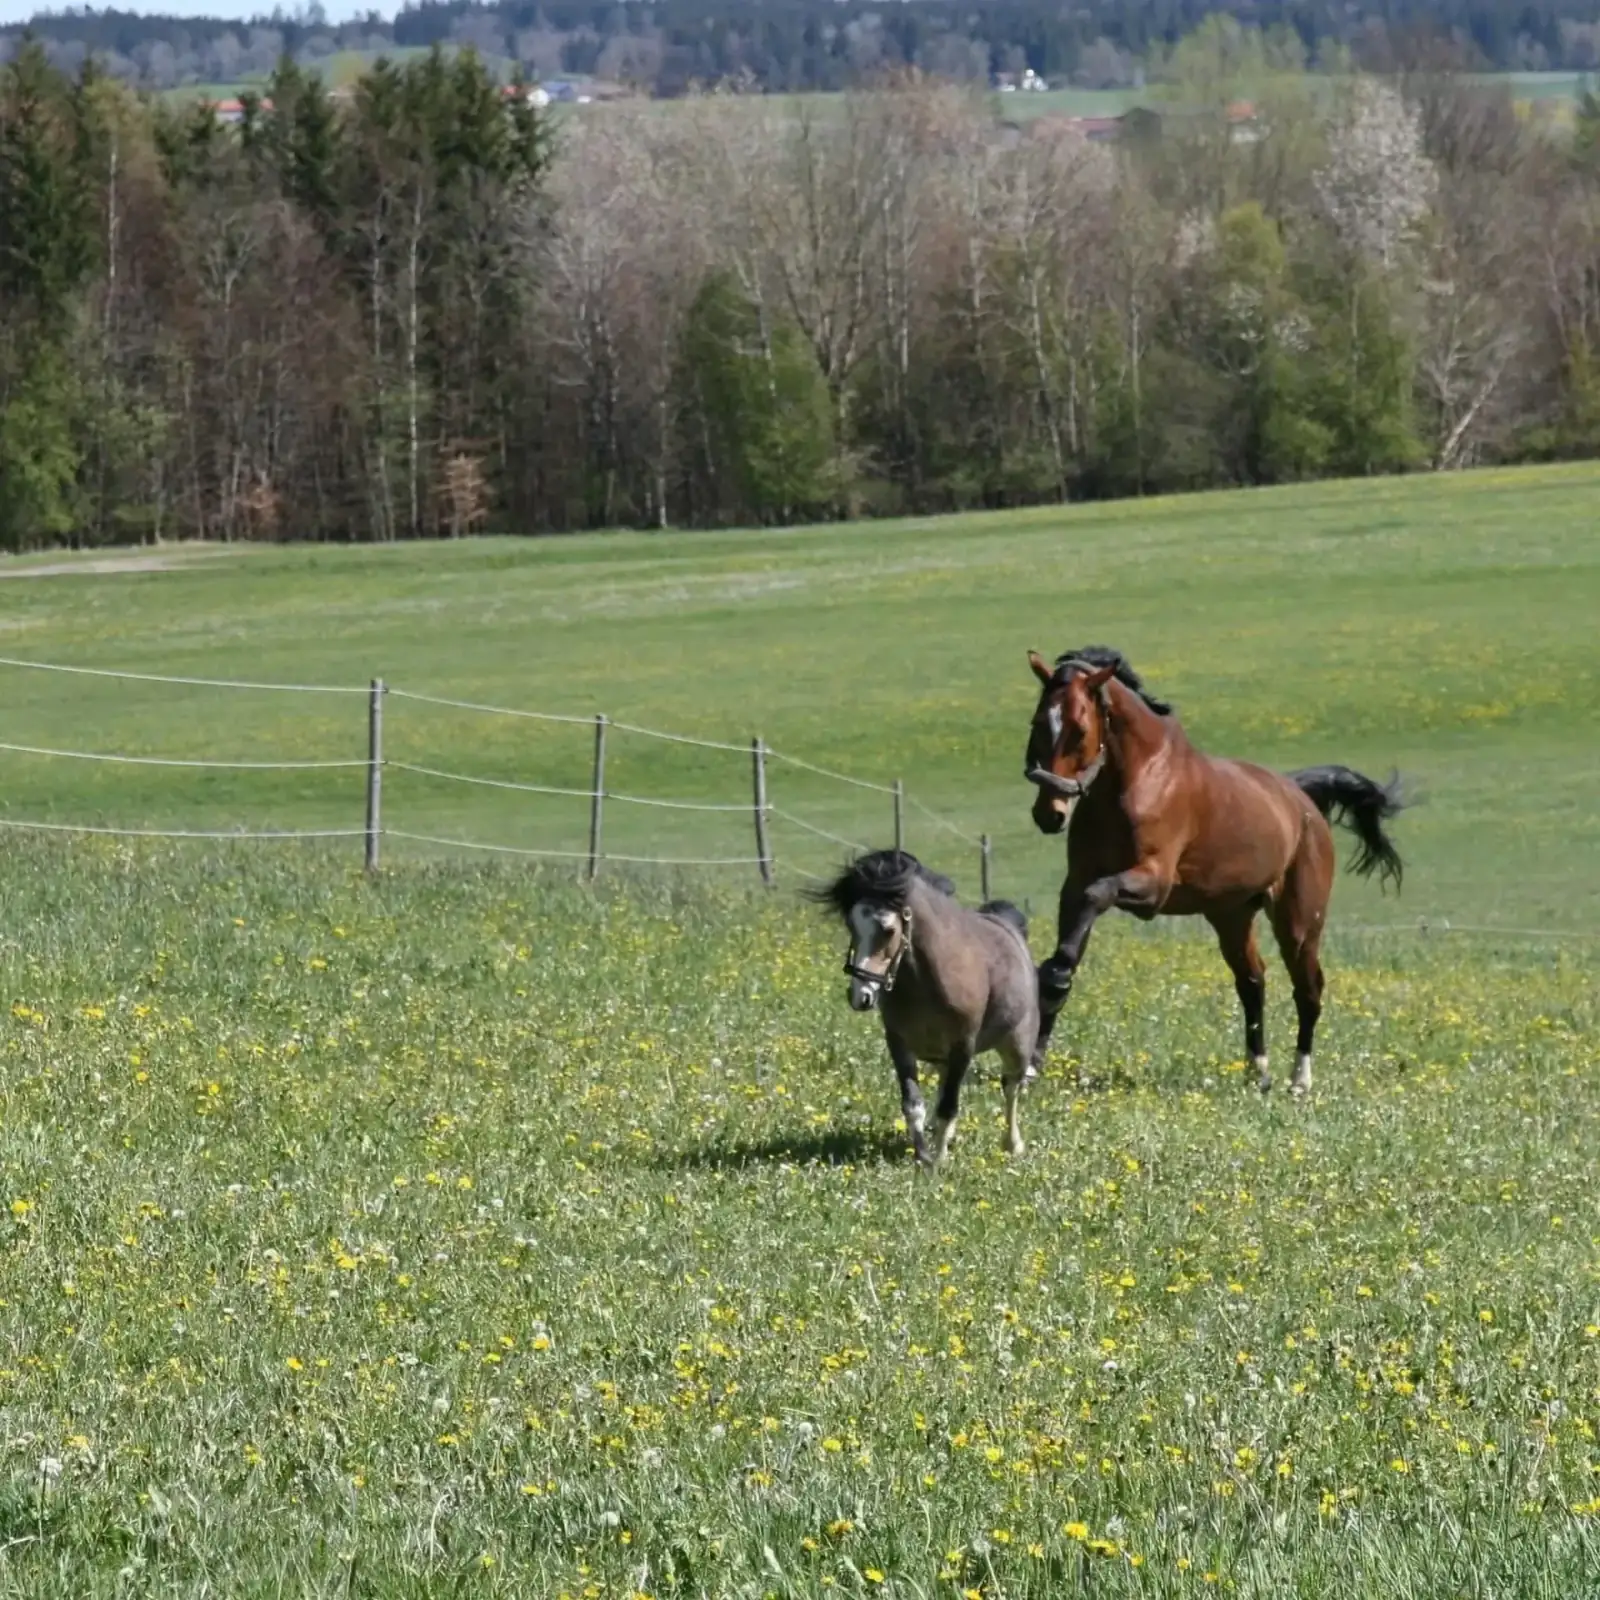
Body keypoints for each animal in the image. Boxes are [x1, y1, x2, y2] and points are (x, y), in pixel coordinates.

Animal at [808, 850, 1040, 1167]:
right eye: (851, 925)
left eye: (889, 929)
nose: (861, 996)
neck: (928, 980)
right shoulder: (899, 1043)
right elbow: (913, 1104)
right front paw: (922, 1156)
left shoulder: (963, 1046)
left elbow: (949, 1106)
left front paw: (939, 1160)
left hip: (1016, 1045)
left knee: (1012, 1088)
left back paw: (1012, 1144)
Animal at [1023, 647, 1405, 1094]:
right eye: (1037, 723)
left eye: (1080, 730)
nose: (1049, 813)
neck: (1138, 777)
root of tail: (1300, 798)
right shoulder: (1076, 883)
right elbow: (1072, 934)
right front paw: (1033, 1055)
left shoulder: (1152, 885)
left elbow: (1096, 895)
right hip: (1231, 915)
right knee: (1253, 981)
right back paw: (1258, 1072)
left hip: (1298, 923)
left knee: (1308, 988)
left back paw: (1299, 1080)